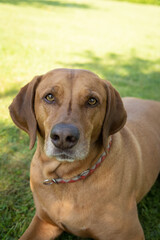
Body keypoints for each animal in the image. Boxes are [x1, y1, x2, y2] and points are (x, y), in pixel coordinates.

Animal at [9, 68, 160, 239]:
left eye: (92, 101)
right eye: (49, 97)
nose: (64, 137)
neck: (67, 176)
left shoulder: (131, 235)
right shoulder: (44, 221)